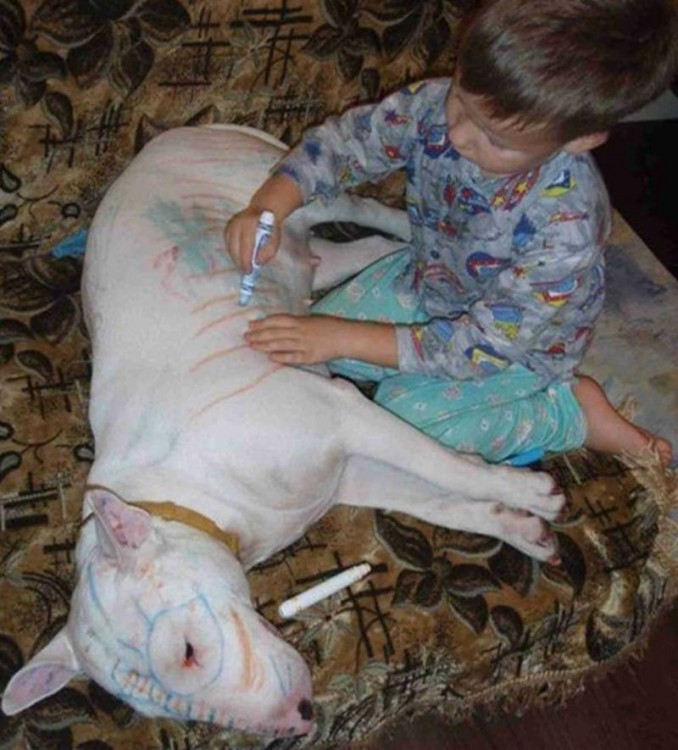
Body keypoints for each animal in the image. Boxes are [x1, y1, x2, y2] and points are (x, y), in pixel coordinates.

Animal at [0, 126, 564, 736]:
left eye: (188, 650)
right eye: (159, 707)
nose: (299, 721)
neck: (190, 497)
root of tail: (176, 135)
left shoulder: (344, 411)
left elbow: (444, 465)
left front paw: (529, 491)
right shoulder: (346, 474)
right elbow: (437, 500)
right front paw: (517, 526)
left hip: (297, 190)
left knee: (365, 208)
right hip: (315, 259)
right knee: (360, 251)